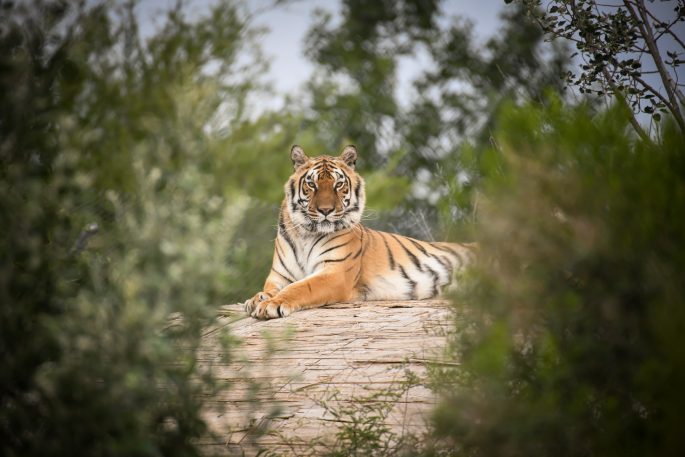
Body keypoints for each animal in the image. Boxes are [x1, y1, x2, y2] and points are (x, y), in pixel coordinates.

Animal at [244, 144, 476, 318]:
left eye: (338, 185)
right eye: (312, 184)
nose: (326, 210)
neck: (306, 234)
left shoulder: (335, 272)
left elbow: (300, 287)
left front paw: (271, 304)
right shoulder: (280, 275)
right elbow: (270, 289)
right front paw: (256, 299)